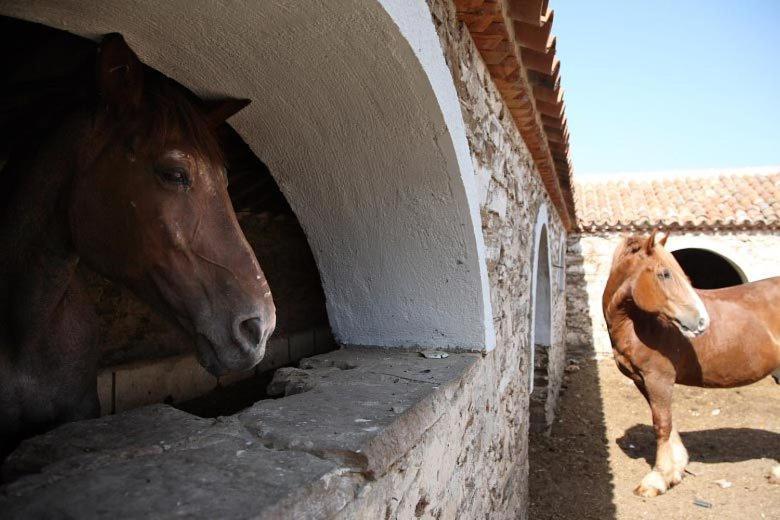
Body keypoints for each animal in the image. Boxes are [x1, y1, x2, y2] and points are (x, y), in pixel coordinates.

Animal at [604, 231, 780, 496]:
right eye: (665, 274)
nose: (701, 321)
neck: (637, 324)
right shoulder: (643, 380)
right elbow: (667, 421)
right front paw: (675, 470)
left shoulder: (659, 379)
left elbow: (662, 424)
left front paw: (657, 479)